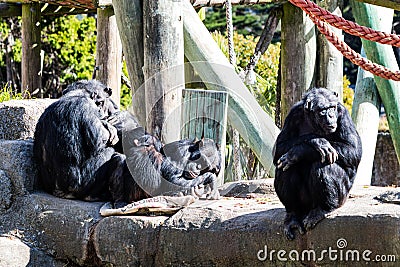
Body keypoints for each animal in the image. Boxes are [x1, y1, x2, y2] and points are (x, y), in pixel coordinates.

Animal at [274, 88, 360, 241]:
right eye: (323, 110)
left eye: (332, 107)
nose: (331, 115)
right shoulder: (293, 114)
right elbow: (279, 147)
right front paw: (317, 141)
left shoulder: (343, 113)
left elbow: (353, 150)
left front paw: (300, 151)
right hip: (304, 204)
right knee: (285, 168)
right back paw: (292, 217)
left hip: (343, 196)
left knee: (323, 165)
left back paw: (323, 210)